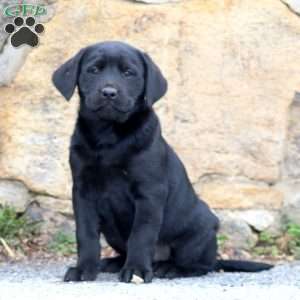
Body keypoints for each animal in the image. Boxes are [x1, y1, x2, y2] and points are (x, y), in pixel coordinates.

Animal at [52, 41, 274, 282]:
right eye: (93, 70)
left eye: (128, 73)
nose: (109, 92)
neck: (108, 135)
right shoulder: (83, 191)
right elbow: (86, 234)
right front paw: (84, 269)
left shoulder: (149, 192)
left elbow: (141, 234)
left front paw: (136, 270)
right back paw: (113, 262)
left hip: (200, 230)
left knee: (202, 265)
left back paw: (171, 268)